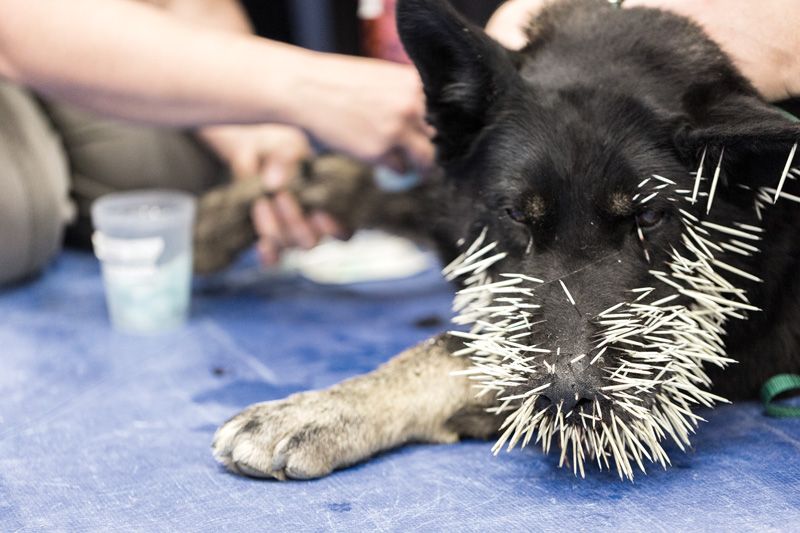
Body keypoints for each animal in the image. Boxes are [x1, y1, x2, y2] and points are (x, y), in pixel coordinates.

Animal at [212, 0, 800, 480]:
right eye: (516, 214)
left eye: (651, 217)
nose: (569, 396)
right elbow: (342, 176)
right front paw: (221, 217)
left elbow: (451, 350)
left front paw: (320, 409)